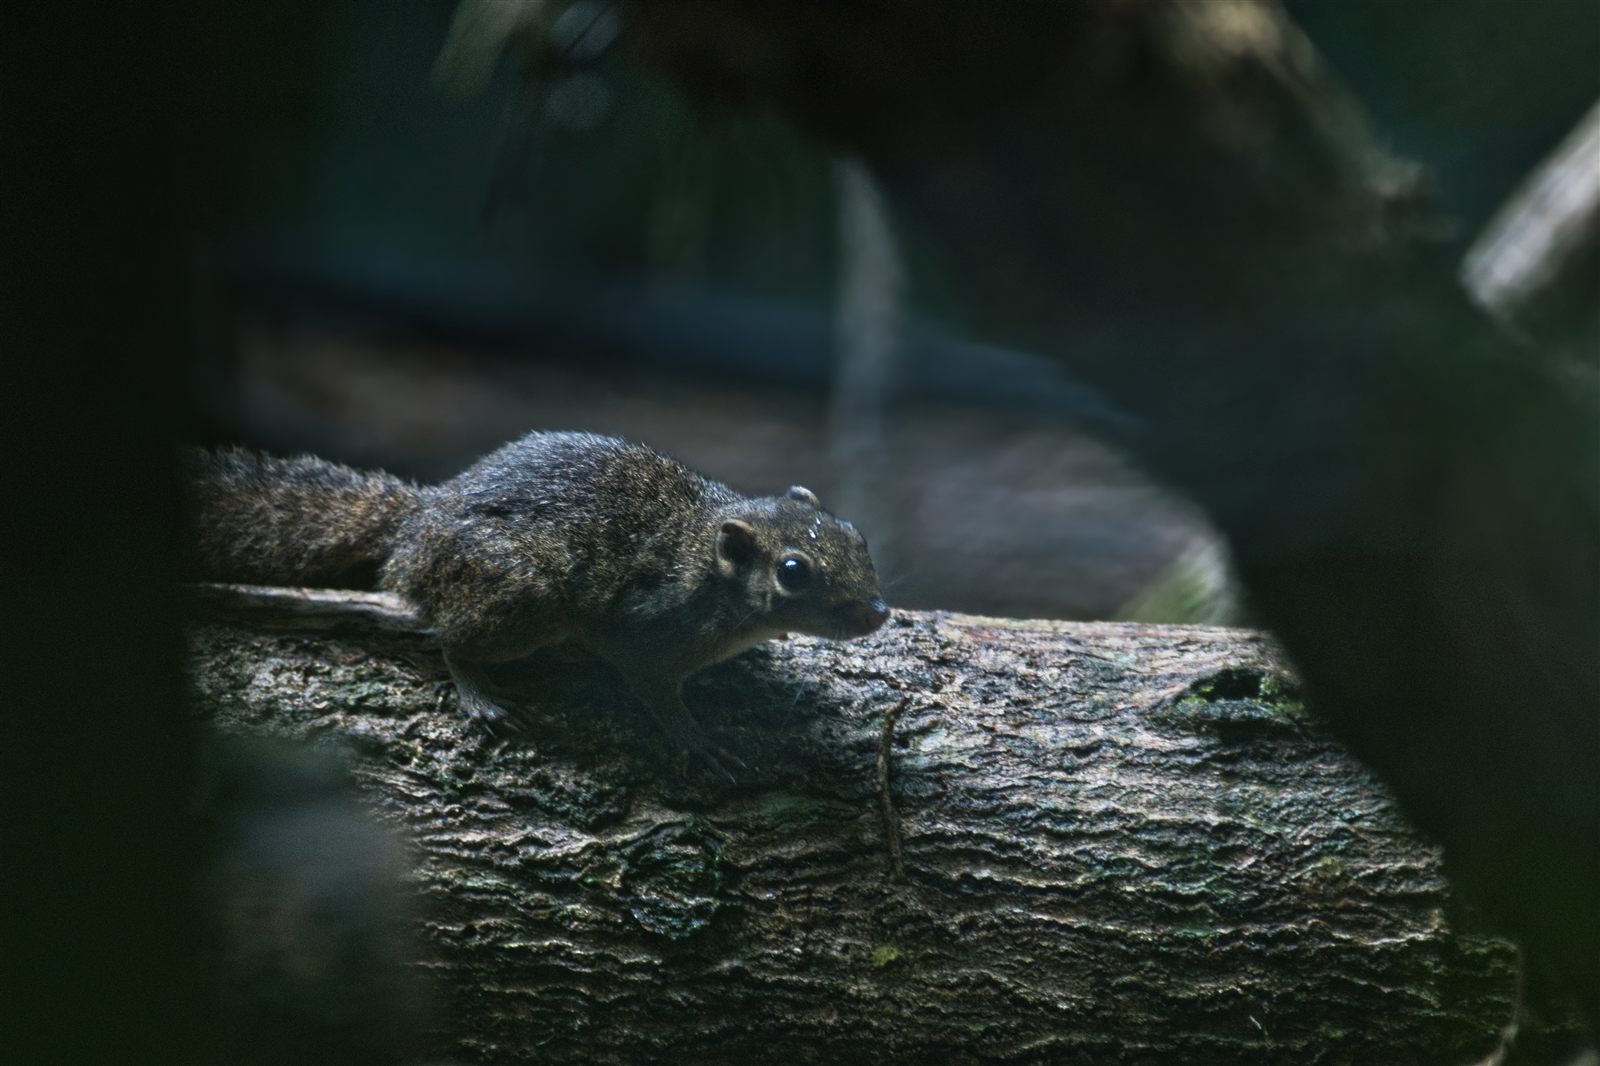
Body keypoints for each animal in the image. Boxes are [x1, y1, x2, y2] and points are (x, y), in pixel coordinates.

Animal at [186, 431, 890, 776]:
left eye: (855, 533)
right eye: (793, 572)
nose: (878, 613)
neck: (704, 566)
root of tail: (416, 530)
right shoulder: (647, 637)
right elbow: (655, 693)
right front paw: (696, 740)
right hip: (523, 598)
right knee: (451, 638)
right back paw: (478, 692)